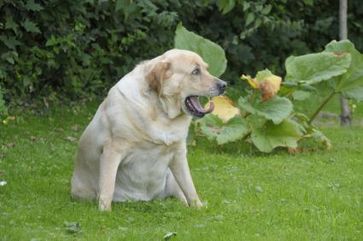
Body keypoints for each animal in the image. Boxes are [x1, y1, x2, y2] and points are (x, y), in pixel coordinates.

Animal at [70, 49, 228, 211]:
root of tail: (145, 199)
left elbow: (190, 188)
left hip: (172, 179)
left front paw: (199, 208)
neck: (162, 113)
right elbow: (107, 187)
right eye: (195, 71)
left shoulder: (179, 154)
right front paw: (105, 211)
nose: (224, 85)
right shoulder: (112, 151)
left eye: (206, 69)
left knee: (182, 195)